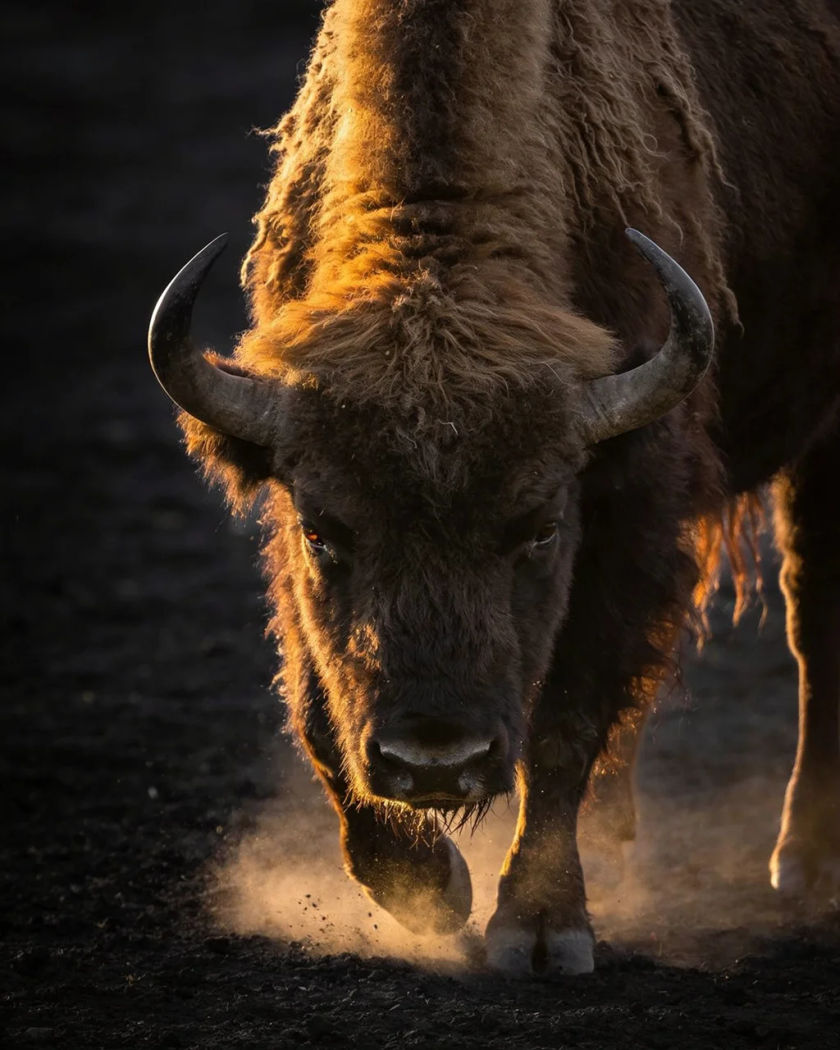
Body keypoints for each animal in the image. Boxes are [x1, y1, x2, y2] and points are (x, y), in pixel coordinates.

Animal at [147, 0, 840, 974]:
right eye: (325, 530)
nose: (436, 760)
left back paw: (803, 862)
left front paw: (542, 927)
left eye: (540, 529)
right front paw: (429, 889)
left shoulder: (627, 509)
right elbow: (321, 712)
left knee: (814, 617)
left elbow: (564, 720)